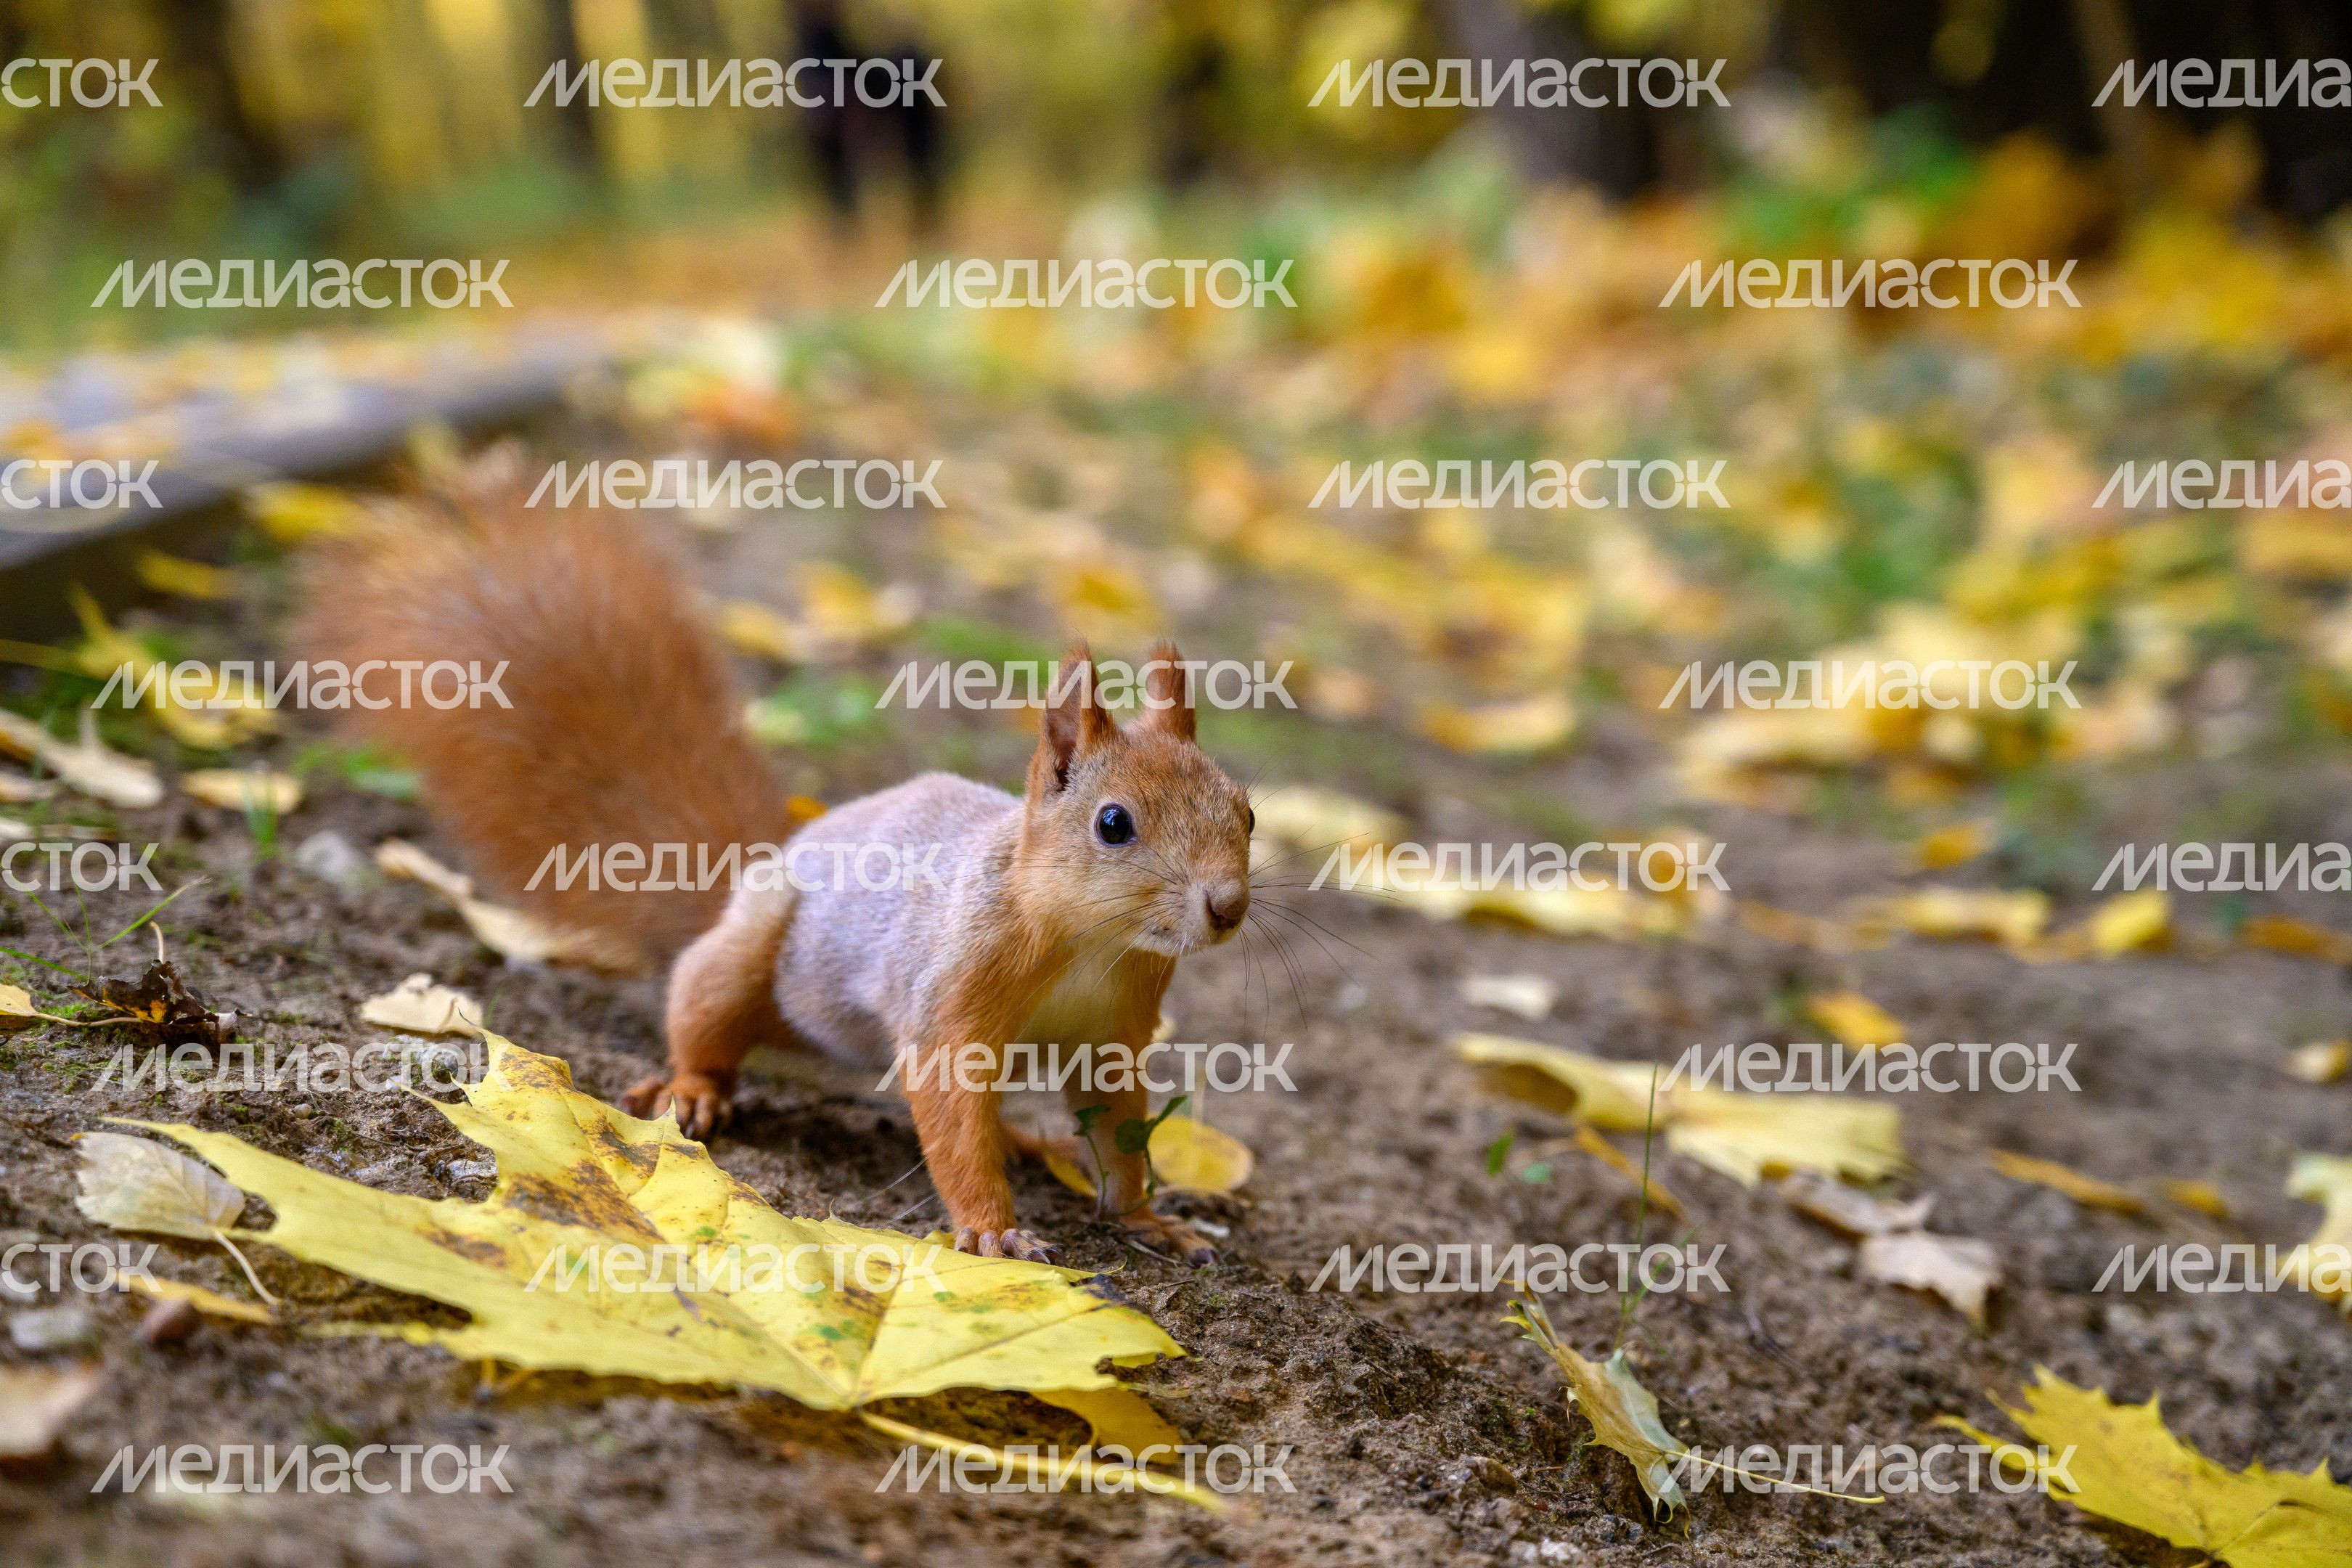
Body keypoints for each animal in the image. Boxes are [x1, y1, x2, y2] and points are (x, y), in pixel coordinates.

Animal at [299, 503, 1248, 1265]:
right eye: (1114, 823)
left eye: (1244, 809)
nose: (1228, 908)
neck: (1092, 941)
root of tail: (767, 861)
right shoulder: (954, 995)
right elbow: (949, 1111)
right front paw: (991, 1230)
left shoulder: (1117, 1028)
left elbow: (1120, 1131)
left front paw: (1150, 1219)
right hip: (749, 953)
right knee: (703, 1013)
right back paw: (693, 1090)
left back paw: (1018, 1134)